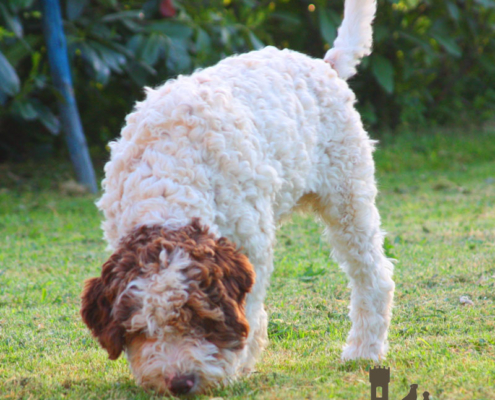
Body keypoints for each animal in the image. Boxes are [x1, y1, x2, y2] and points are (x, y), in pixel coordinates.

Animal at [83, 0, 398, 394]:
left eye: (200, 319)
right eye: (141, 329)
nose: (181, 382)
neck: (168, 180)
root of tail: (324, 64)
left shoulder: (252, 247)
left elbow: (248, 310)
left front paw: (236, 364)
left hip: (347, 195)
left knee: (373, 274)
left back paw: (363, 350)